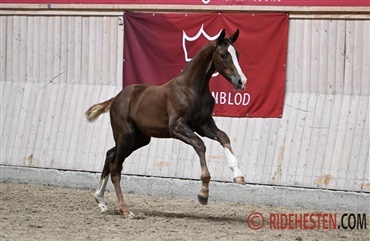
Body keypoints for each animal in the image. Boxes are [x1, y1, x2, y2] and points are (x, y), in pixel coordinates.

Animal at [86, 29, 247, 217]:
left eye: (237, 54)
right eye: (223, 55)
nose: (241, 82)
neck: (191, 89)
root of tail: (116, 99)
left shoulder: (204, 124)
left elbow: (223, 137)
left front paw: (238, 175)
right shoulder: (177, 127)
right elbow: (200, 144)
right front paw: (203, 194)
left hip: (139, 139)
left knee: (110, 155)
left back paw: (100, 200)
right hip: (125, 136)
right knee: (116, 168)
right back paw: (124, 209)